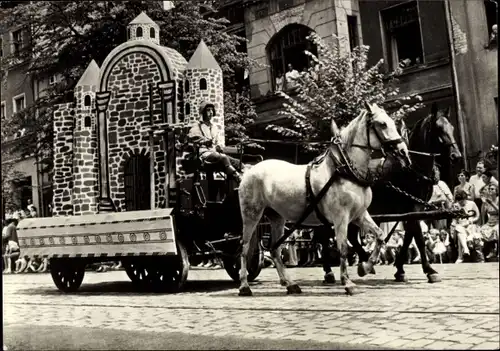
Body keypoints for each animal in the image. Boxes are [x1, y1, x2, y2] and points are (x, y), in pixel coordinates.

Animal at [237, 102, 410, 296]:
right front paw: (348, 282)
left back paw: (290, 284)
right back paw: (244, 285)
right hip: (251, 214)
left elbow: (380, 236)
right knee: (245, 247)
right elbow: (343, 247)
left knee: (275, 250)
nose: (403, 152)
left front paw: (364, 267)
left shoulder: (359, 215)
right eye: (382, 124)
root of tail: (249, 169)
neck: (344, 170)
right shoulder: (340, 217)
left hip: (277, 217)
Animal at [318, 104, 462, 284]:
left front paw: (400, 269)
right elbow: (419, 238)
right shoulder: (412, 208)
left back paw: (364, 261)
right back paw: (330, 271)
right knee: (324, 237)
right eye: (438, 129)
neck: (411, 168)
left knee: (349, 236)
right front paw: (430, 270)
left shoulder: (414, 209)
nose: (456, 156)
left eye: (452, 128)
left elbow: (409, 237)